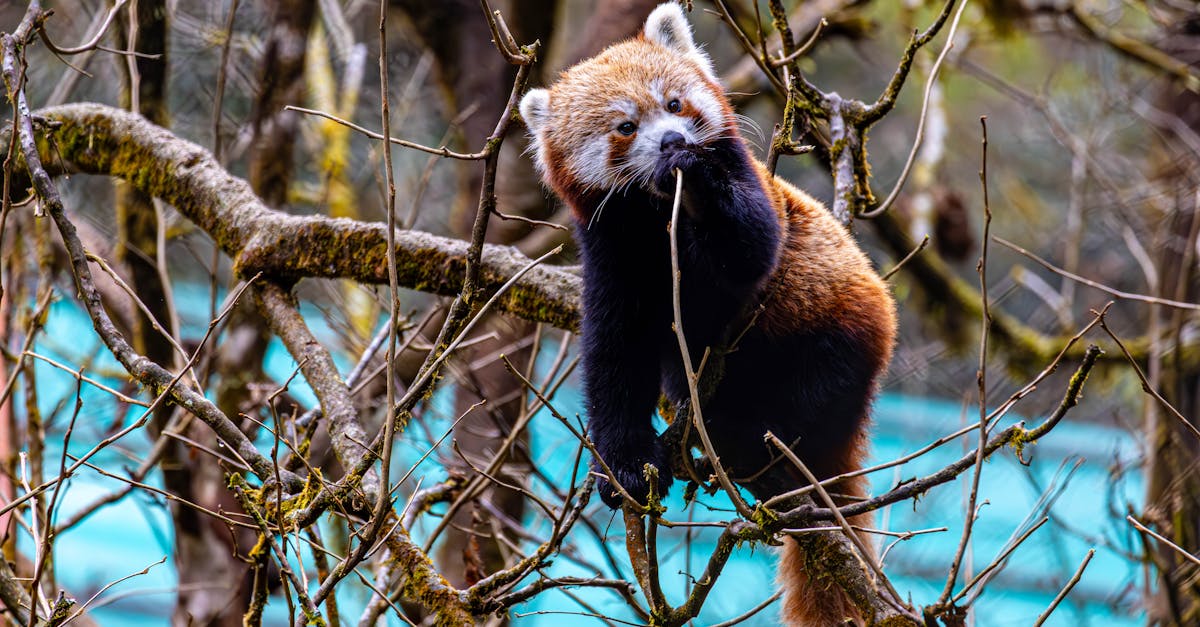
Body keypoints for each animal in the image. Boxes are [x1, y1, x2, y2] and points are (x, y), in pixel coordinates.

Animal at [520, 3, 897, 619]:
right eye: (626, 127)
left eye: (675, 104)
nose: (672, 140)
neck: (656, 215)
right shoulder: (611, 257)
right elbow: (615, 357)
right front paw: (622, 465)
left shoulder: (750, 191)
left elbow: (751, 247)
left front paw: (695, 176)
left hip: (838, 328)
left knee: (814, 391)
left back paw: (745, 436)